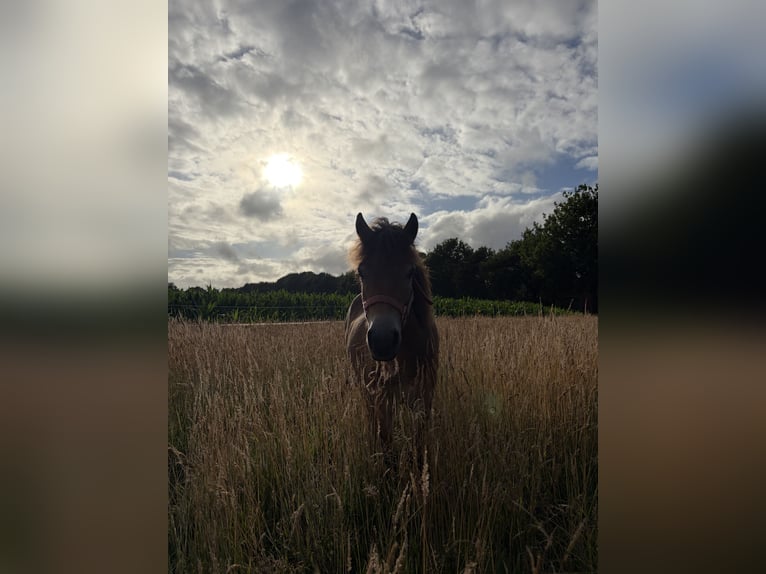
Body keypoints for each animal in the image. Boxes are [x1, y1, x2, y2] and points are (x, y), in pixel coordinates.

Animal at [345, 212, 439, 458]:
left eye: (409, 272)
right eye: (362, 272)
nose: (382, 341)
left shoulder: (424, 401)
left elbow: (419, 449)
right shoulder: (383, 401)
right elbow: (387, 448)